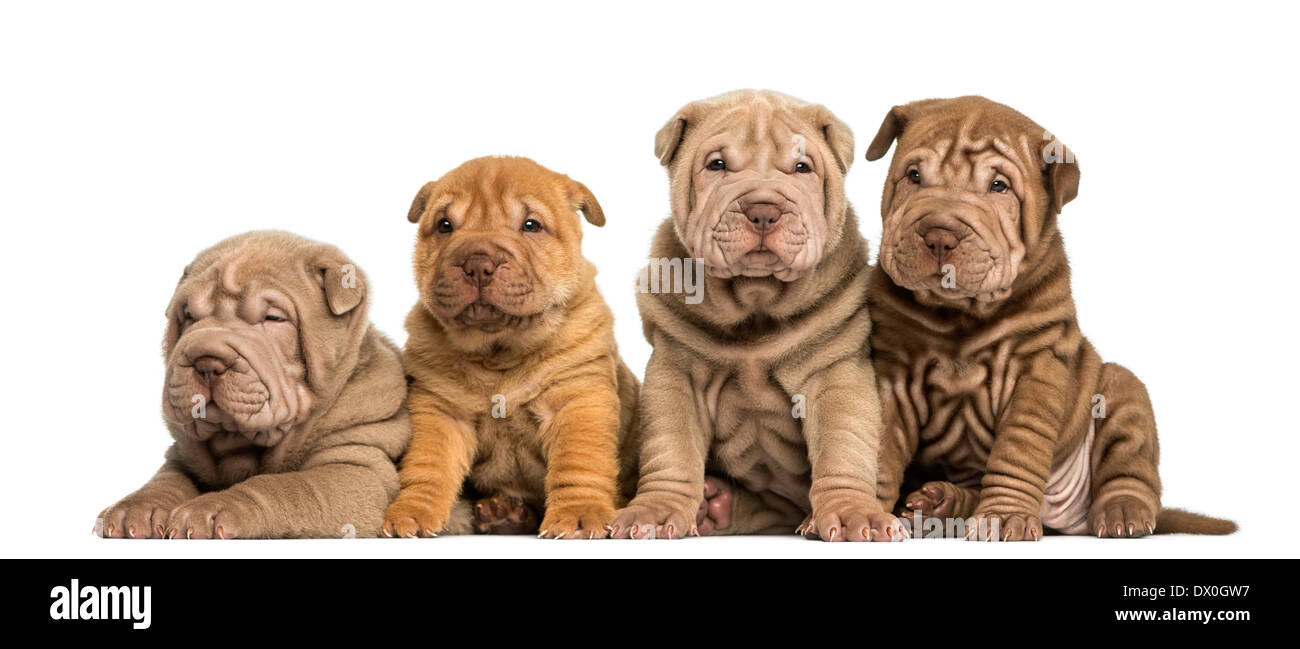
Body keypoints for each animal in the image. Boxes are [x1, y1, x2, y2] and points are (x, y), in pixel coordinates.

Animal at [96, 231, 408, 541]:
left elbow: (287, 487)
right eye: (189, 316)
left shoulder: (357, 468)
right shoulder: (182, 456)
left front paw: (212, 508)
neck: (239, 442)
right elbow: (166, 479)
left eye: (274, 318)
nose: (206, 361)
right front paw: (136, 508)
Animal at [377, 156, 639, 538]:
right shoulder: (440, 409)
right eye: (444, 225)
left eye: (531, 225)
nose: (477, 263)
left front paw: (578, 514)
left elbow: (579, 462)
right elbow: (428, 464)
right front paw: (411, 511)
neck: (500, 350)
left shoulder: (576, 399)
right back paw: (503, 513)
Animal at [611, 89, 904, 541]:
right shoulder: (676, 372)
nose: (763, 210)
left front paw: (854, 512)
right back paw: (714, 505)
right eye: (717, 165)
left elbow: (843, 446)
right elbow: (672, 446)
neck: (755, 303)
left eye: (802, 167)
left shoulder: (836, 374)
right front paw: (656, 510)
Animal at [868, 96, 1232, 541]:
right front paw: (864, 510)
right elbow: (875, 443)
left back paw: (1122, 513)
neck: (960, 316)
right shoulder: (892, 373)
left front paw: (1003, 517)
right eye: (914, 176)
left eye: (999, 186)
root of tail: (1061, 518)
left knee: (1130, 468)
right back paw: (940, 505)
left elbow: (1017, 447)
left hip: (1121, 393)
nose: (939, 235)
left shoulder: (1037, 368)